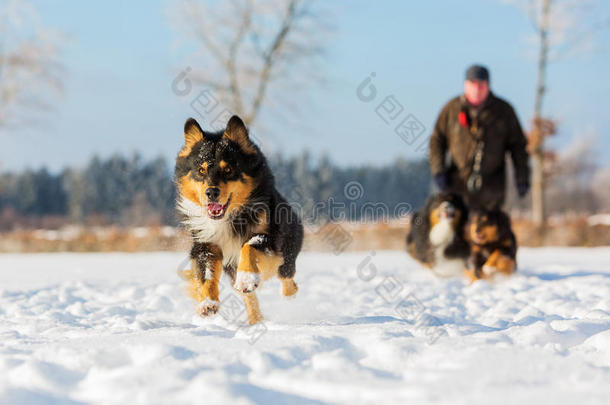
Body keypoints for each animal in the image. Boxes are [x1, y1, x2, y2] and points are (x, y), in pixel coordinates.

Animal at [173, 115, 302, 324]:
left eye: (228, 170)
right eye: (201, 171)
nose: (211, 192)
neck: (228, 217)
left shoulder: (269, 237)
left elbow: (249, 246)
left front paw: (247, 278)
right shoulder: (205, 244)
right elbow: (206, 275)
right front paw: (207, 303)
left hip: (287, 252)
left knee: (286, 276)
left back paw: (288, 294)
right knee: (250, 298)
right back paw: (256, 320)